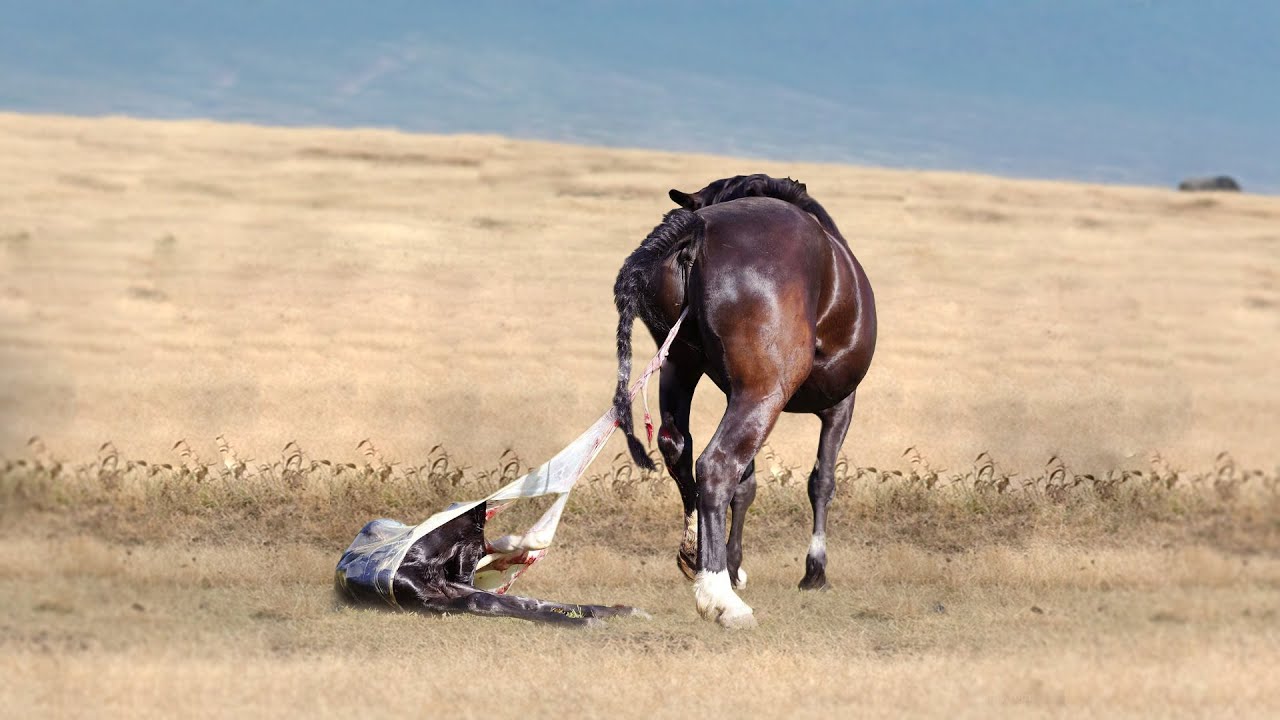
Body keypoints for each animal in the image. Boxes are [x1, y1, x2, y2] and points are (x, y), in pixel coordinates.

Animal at [335, 499, 645, 622]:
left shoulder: (456, 584)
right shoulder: (437, 598)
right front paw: (586, 621)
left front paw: (618, 611)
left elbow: (522, 600)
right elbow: (488, 601)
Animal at [606, 172, 870, 622]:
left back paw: (695, 556)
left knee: (678, 448)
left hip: (681, 367)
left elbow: (746, 487)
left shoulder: (732, 392)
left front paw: (732, 562)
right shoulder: (839, 405)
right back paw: (719, 596)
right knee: (716, 466)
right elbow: (822, 481)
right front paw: (814, 571)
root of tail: (698, 228)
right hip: (765, 393)